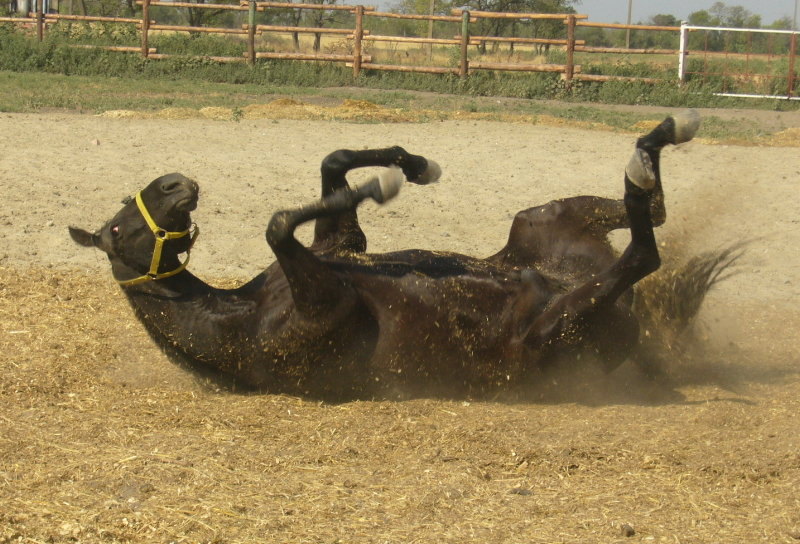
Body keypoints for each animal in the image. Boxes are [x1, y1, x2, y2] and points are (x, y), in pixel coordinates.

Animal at [72, 110, 704, 400]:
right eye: (117, 227)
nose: (175, 181)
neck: (237, 316)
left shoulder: (338, 249)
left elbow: (332, 161)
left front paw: (411, 165)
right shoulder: (324, 303)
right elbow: (278, 222)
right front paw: (377, 184)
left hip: (539, 224)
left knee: (652, 212)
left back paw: (660, 139)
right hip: (556, 324)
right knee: (643, 254)